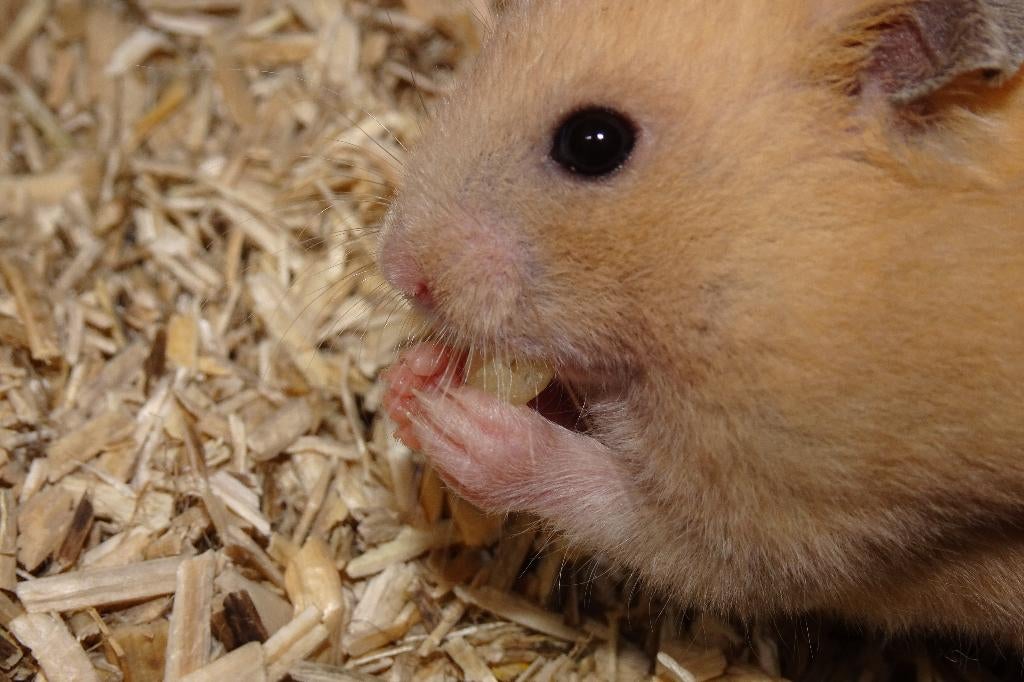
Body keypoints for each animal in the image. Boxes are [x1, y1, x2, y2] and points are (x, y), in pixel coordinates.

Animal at [378, 0, 1024, 643]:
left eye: (594, 142)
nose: (398, 268)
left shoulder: (803, 516)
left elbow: (619, 507)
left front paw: (453, 421)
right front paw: (412, 378)